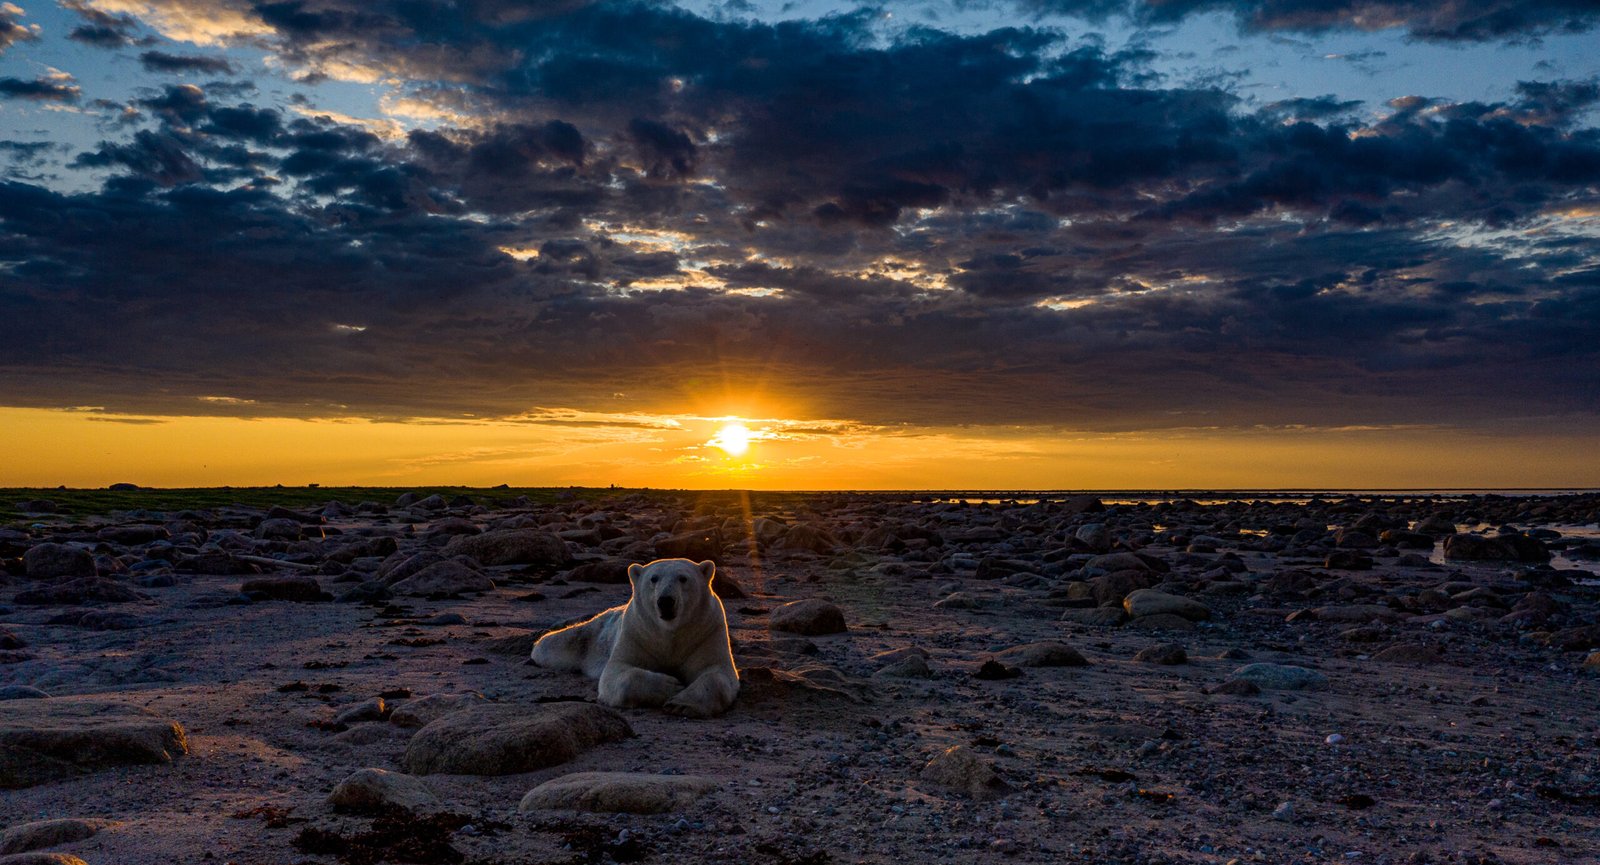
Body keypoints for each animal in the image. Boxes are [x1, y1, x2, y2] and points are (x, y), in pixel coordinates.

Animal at [534, 559, 739, 716]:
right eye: (653, 578)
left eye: (683, 578)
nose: (665, 601)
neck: (669, 631)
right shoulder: (637, 633)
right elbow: (618, 672)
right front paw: (670, 686)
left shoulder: (705, 631)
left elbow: (717, 672)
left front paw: (681, 704)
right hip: (590, 634)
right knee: (555, 644)